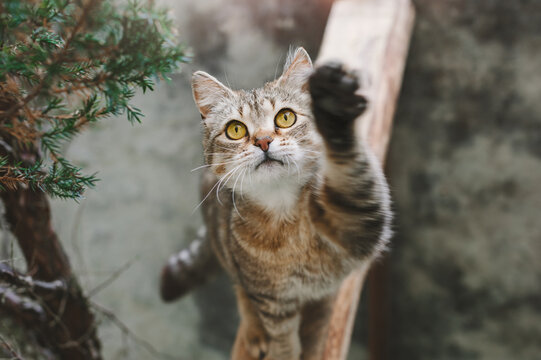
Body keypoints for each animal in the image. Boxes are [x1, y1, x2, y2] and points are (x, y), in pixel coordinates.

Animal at [160, 48, 392, 360]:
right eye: (235, 130)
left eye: (285, 117)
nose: (263, 141)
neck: (284, 219)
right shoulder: (271, 299)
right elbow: (282, 336)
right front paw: (281, 348)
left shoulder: (359, 224)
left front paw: (333, 109)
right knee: (240, 289)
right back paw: (253, 328)